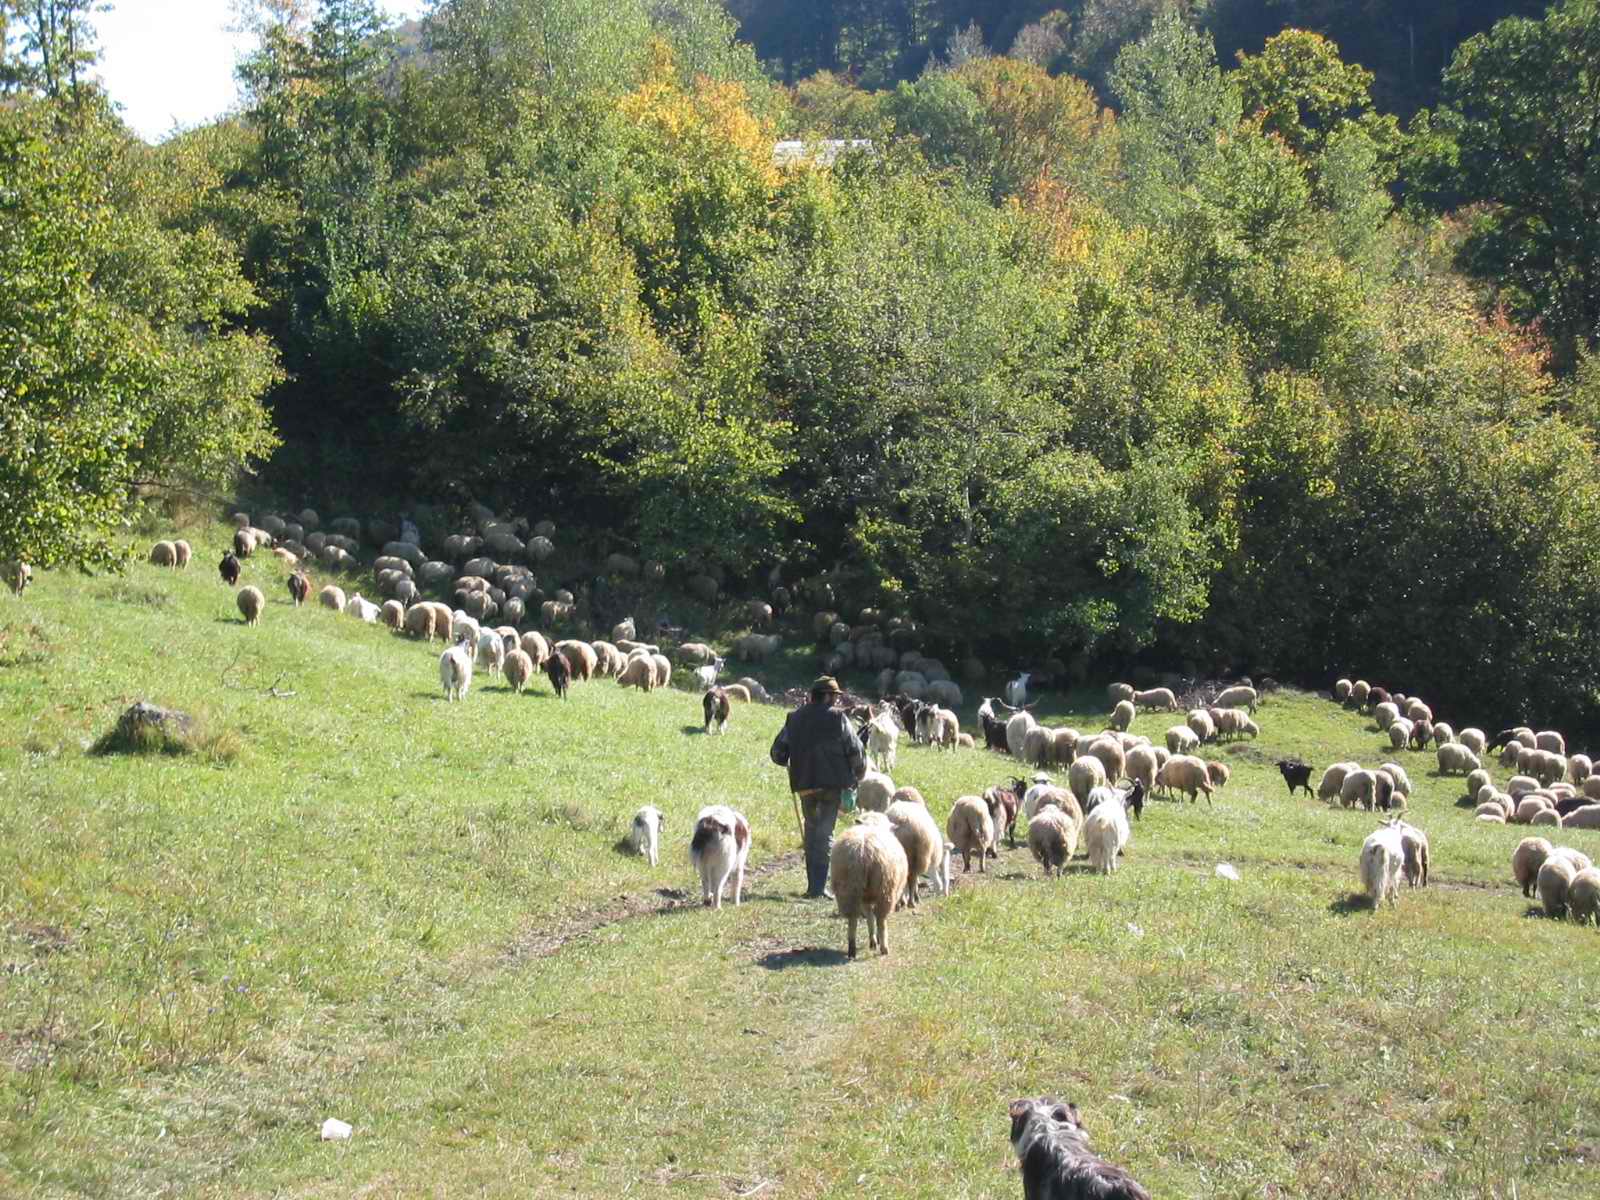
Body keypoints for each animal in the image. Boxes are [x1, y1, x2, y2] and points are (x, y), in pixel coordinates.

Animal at [830, 814, 908, 957]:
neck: (873, 825)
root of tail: (863, 850)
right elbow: (874, 919)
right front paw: (876, 941)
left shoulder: (865, 898)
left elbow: (869, 917)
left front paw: (873, 940)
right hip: (885, 890)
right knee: (881, 920)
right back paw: (884, 948)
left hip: (849, 889)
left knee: (853, 920)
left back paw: (852, 949)